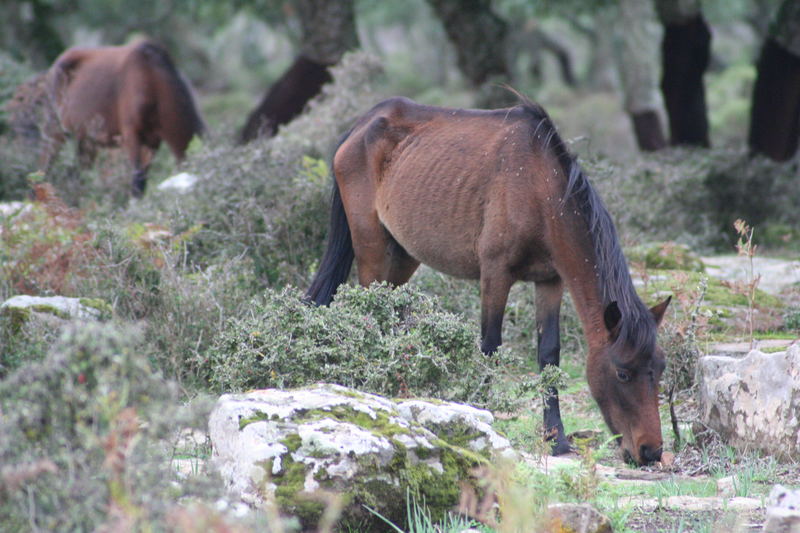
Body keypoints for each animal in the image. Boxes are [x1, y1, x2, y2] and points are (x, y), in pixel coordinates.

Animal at [41, 39, 205, 196]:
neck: (151, 80)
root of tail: (57, 63)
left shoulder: (153, 141)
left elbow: (142, 180)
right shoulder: (131, 135)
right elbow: (137, 181)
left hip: (88, 141)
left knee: (76, 175)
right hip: (56, 132)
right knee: (45, 167)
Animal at [310, 95, 672, 466]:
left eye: (659, 369)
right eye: (623, 373)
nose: (651, 451)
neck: (539, 187)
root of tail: (362, 124)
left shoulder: (550, 281)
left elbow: (549, 354)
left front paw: (556, 439)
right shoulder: (496, 274)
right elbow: (490, 346)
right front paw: (482, 417)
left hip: (401, 256)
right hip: (372, 249)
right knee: (370, 318)